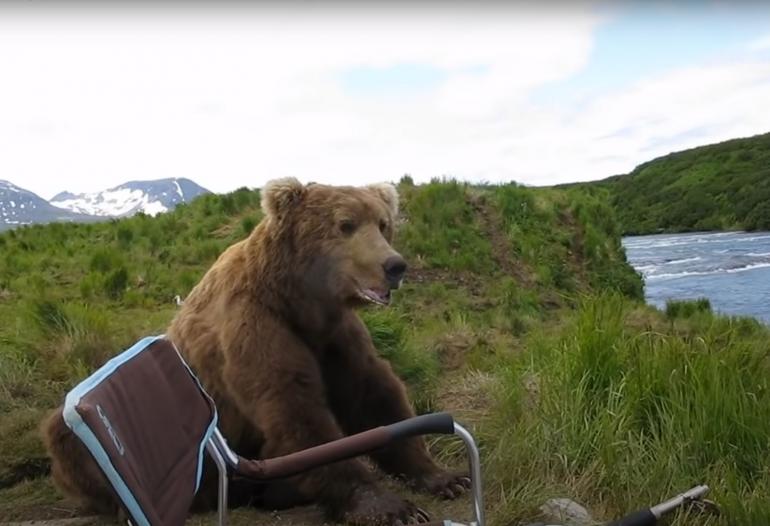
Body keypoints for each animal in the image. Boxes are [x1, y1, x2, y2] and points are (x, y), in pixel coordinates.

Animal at [43, 179, 468, 525]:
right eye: (345, 224)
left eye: (382, 223)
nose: (394, 265)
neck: (297, 299)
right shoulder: (254, 326)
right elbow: (294, 407)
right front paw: (387, 506)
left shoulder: (334, 335)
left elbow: (373, 393)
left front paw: (444, 477)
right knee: (65, 437)